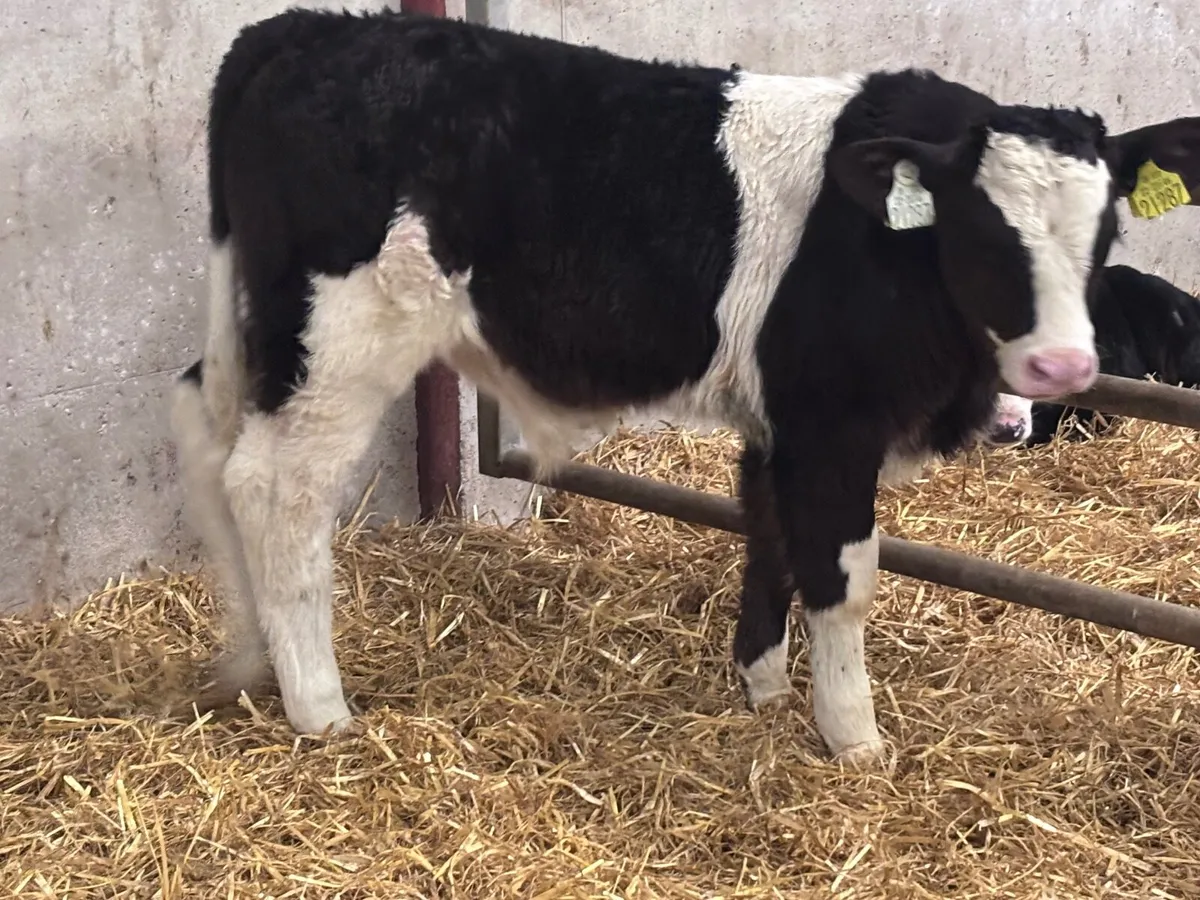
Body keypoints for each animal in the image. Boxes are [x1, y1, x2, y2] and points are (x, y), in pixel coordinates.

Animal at [170, 7, 1200, 762]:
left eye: (1107, 229)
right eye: (986, 230)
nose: (1065, 368)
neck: (886, 244)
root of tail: (305, 28)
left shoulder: (779, 421)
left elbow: (770, 540)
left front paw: (762, 689)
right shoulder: (833, 420)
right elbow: (843, 577)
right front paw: (854, 738)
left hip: (258, 333)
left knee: (206, 438)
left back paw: (247, 662)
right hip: (343, 344)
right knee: (274, 490)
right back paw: (319, 706)